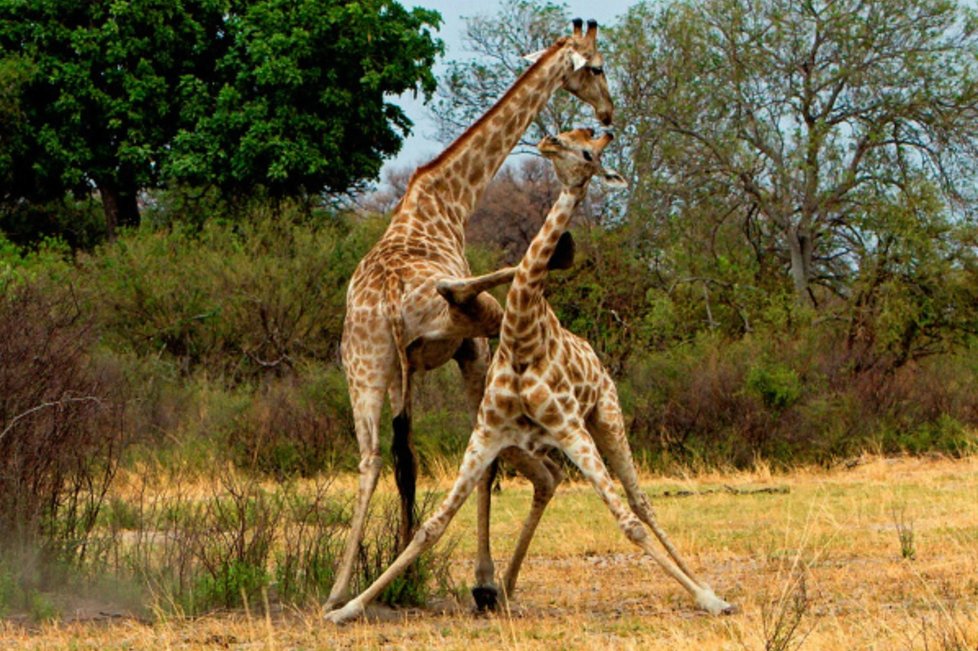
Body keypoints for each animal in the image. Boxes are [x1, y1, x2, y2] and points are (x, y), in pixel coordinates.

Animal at [324, 129, 736, 628]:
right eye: (575, 135)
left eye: (587, 152)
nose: (550, 140)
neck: (521, 336)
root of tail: (594, 353)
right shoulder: (488, 430)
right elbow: (433, 525)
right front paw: (349, 607)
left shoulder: (567, 425)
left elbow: (628, 521)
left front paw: (711, 599)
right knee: (545, 477)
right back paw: (497, 588)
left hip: (603, 417)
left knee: (639, 501)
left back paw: (704, 588)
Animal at [328, 19, 612, 612]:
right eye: (596, 67)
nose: (608, 113)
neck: (448, 200)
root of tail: (389, 301)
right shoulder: (468, 347)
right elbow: (482, 465)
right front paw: (482, 582)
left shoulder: (406, 371)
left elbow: (407, 460)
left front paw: (405, 564)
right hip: (461, 333)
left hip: (362, 365)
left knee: (372, 457)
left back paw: (342, 588)